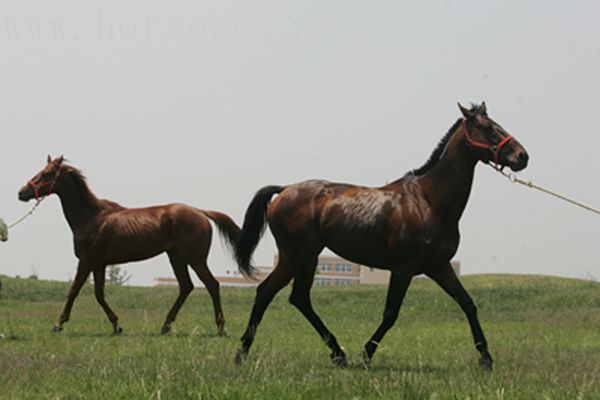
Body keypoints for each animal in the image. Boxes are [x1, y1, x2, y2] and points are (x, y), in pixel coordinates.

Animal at [17, 155, 240, 336]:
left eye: (47, 173)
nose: (21, 192)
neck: (90, 218)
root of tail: (201, 212)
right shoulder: (99, 264)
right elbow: (99, 294)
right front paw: (116, 325)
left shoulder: (87, 260)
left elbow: (74, 290)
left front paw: (58, 324)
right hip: (176, 256)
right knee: (186, 286)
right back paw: (166, 326)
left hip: (195, 259)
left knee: (212, 285)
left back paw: (220, 328)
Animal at [234, 102, 528, 368]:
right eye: (487, 127)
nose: (522, 156)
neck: (429, 201)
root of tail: (283, 190)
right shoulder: (403, 269)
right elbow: (390, 314)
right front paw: (366, 355)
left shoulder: (439, 266)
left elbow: (467, 303)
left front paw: (486, 357)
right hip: (305, 256)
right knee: (299, 297)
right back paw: (338, 354)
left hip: (290, 257)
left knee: (265, 292)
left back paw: (242, 353)